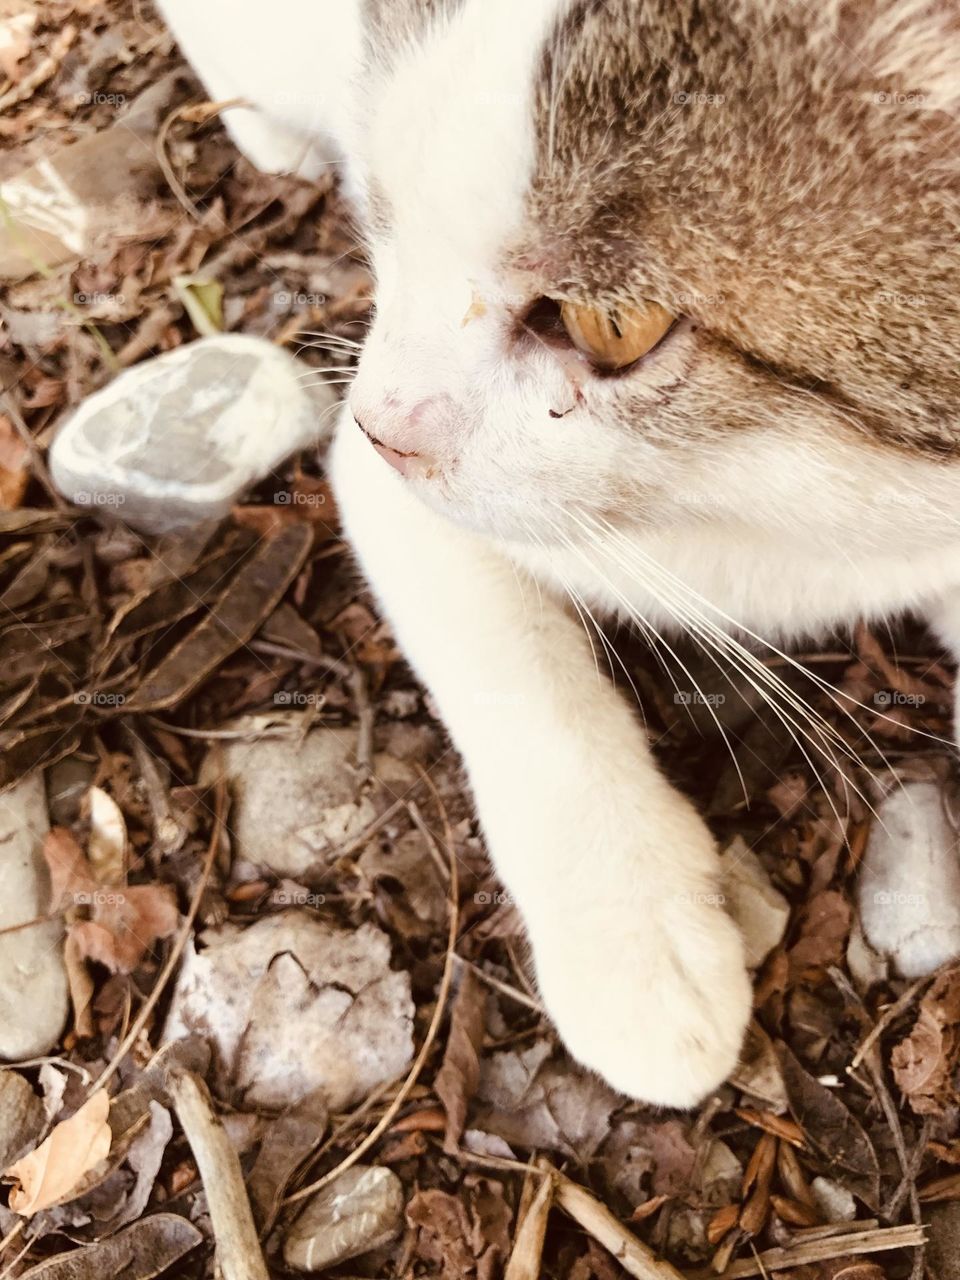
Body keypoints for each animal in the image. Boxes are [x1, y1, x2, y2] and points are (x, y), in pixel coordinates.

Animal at [158, 0, 960, 1100]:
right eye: (389, 215)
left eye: (611, 324)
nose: (384, 423)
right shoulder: (394, 495)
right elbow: (524, 689)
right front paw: (636, 940)